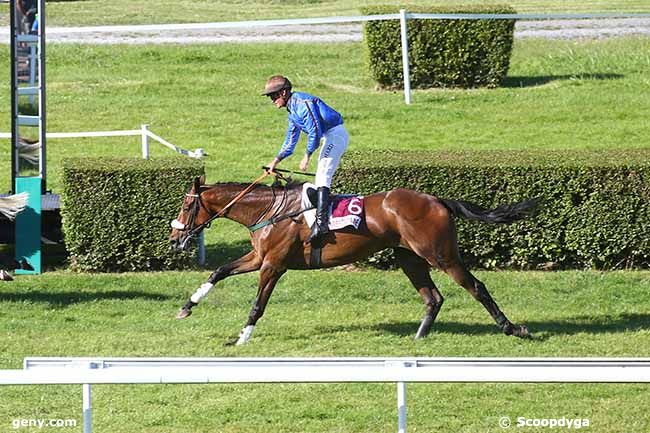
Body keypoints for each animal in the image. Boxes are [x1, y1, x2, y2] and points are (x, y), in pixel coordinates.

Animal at [168, 172, 536, 344]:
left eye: (186, 205)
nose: (174, 239)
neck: (269, 210)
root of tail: (438, 200)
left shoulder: (273, 265)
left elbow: (258, 304)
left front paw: (242, 337)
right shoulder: (259, 257)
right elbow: (219, 271)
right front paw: (187, 306)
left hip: (441, 255)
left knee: (476, 287)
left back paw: (513, 328)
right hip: (409, 258)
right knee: (433, 297)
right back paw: (419, 336)